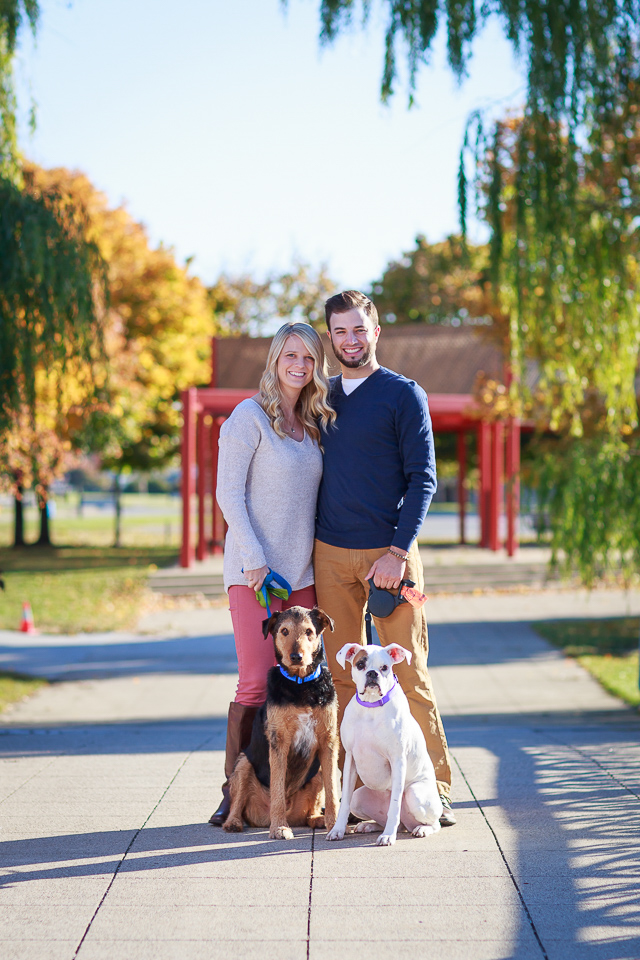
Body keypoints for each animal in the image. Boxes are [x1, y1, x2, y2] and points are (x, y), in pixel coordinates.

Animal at [222, 608, 340, 840]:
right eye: (284, 631)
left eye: (309, 631)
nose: (296, 657)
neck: (301, 685)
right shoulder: (279, 743)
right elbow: (277, 788)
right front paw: (279, 828)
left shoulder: (328, 741)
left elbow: (332, 791)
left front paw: (336, 826)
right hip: (243, 764)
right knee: (237, 804)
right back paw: (233, 823)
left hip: (317, 771)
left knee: (310, 810)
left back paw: (317, 819)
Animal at [328, 644, 442, 848]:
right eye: (360, 665)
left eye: (384, 668)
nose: (372, 673)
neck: (371, 707)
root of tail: (406, 825)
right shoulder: (350, 759)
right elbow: (344, 802)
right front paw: (338, 830)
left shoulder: (397, 760)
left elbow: (394, 804)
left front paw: (389, 836)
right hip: (359, 797)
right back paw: (369, 825)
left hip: (415, 794)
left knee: (434, 823)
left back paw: (421, 829)